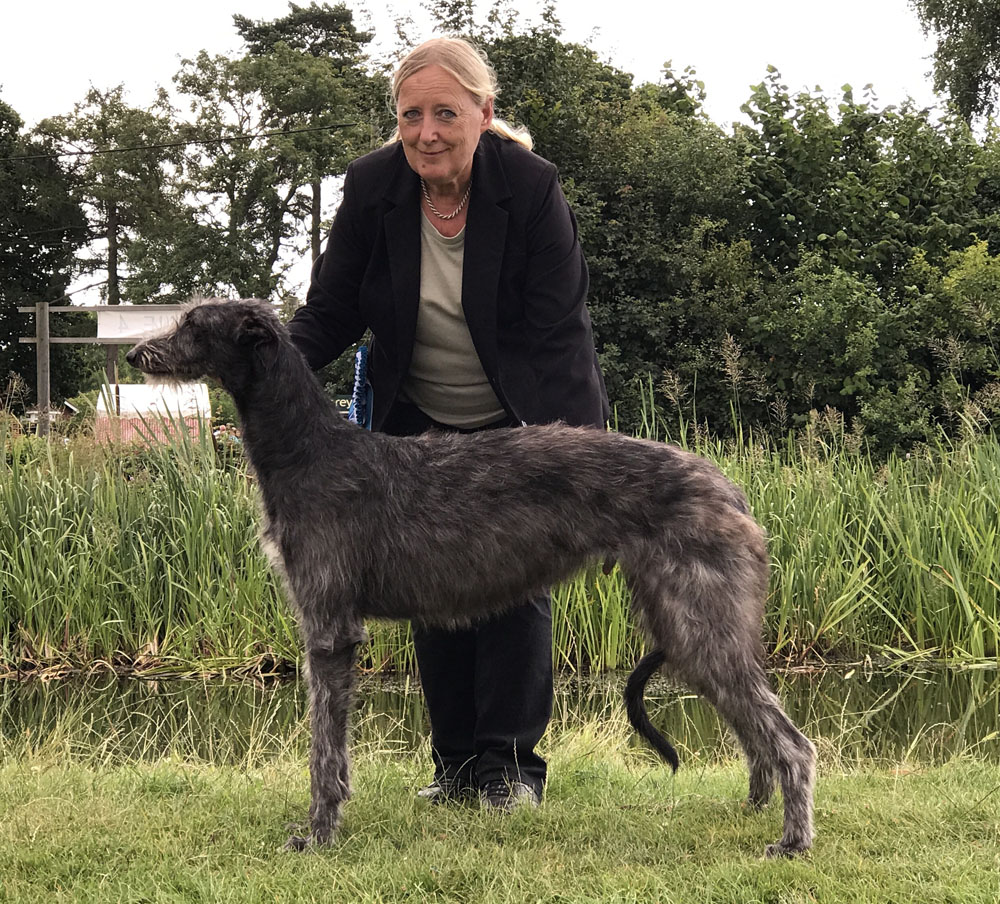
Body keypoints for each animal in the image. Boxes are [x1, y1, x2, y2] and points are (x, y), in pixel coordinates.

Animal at [127, 300, 812, 860]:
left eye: (194, 324)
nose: (137, 354)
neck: (309, 450)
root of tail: (728, 488)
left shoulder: (328, 629)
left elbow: (325, 749)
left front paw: (318, 833)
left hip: (700, 618)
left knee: (792, 742)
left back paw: (792, 839)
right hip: (690, 624)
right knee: (753, 725)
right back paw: (752, 808)